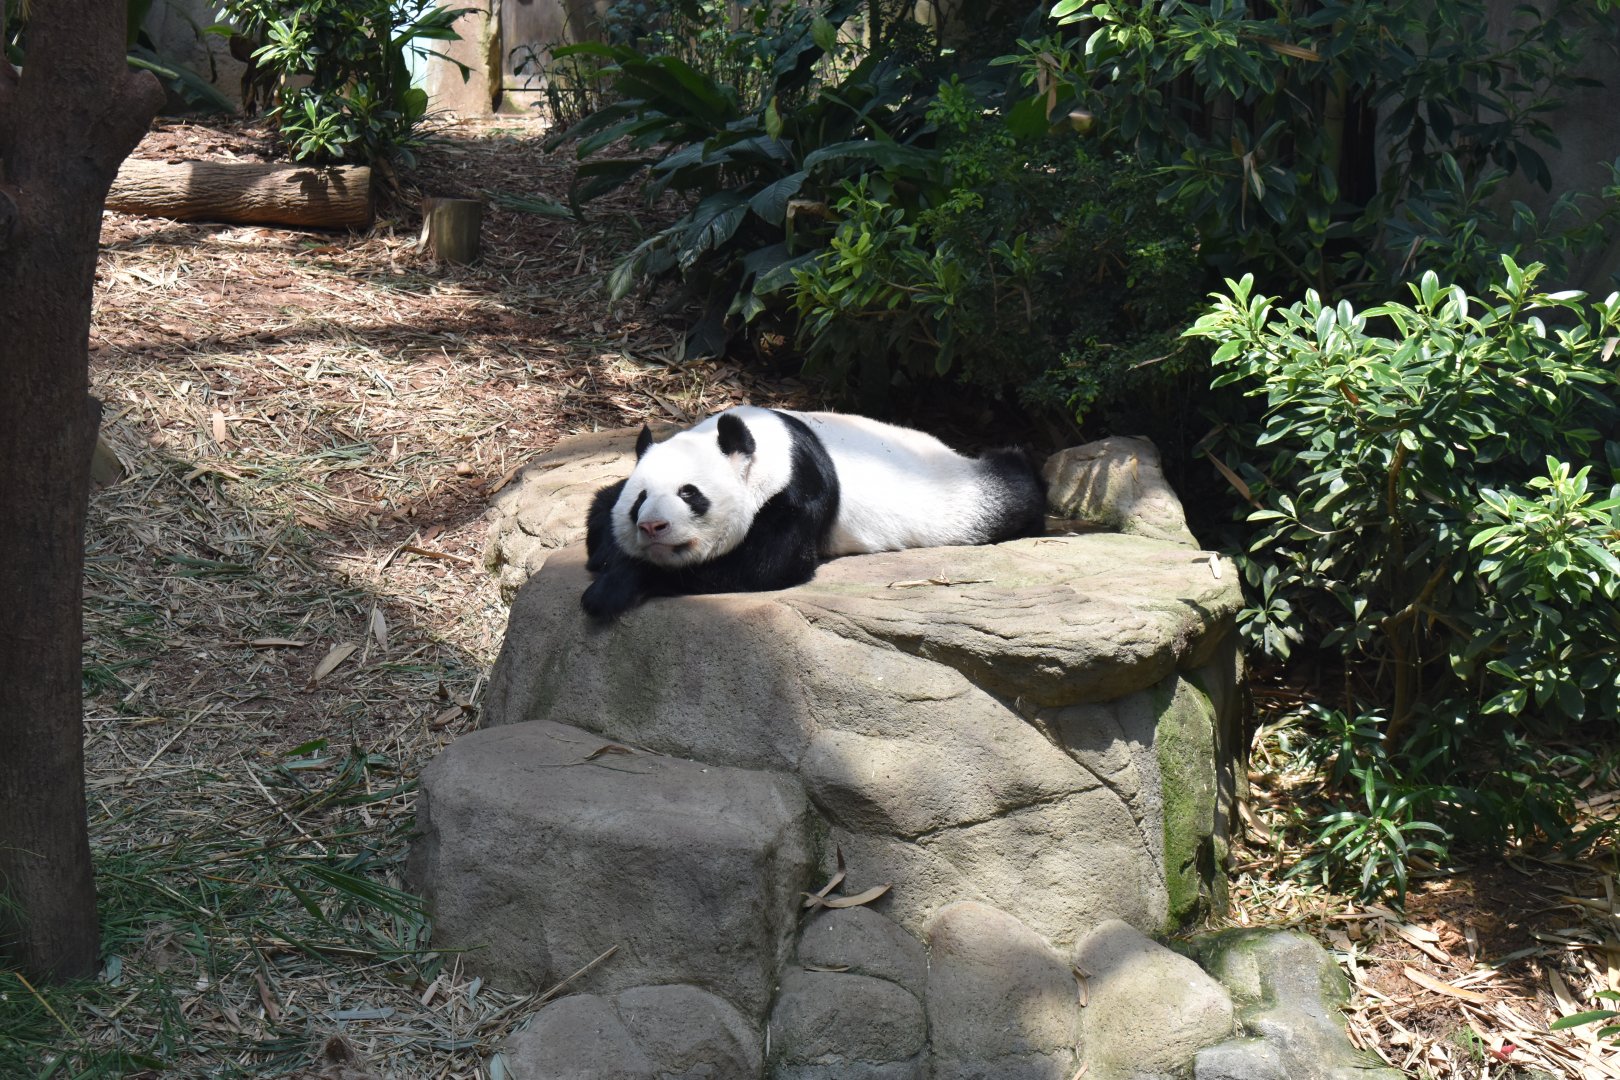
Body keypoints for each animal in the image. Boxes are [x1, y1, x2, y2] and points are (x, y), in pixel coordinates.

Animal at [581, 406, 1047, 620]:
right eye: (640, 500)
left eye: (690, 494)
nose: (652, 526)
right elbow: (602, 504)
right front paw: (610, 558)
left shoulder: (799, 488)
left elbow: (764, 566)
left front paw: (614, 588)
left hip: (959, 498)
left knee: (1008, 492)